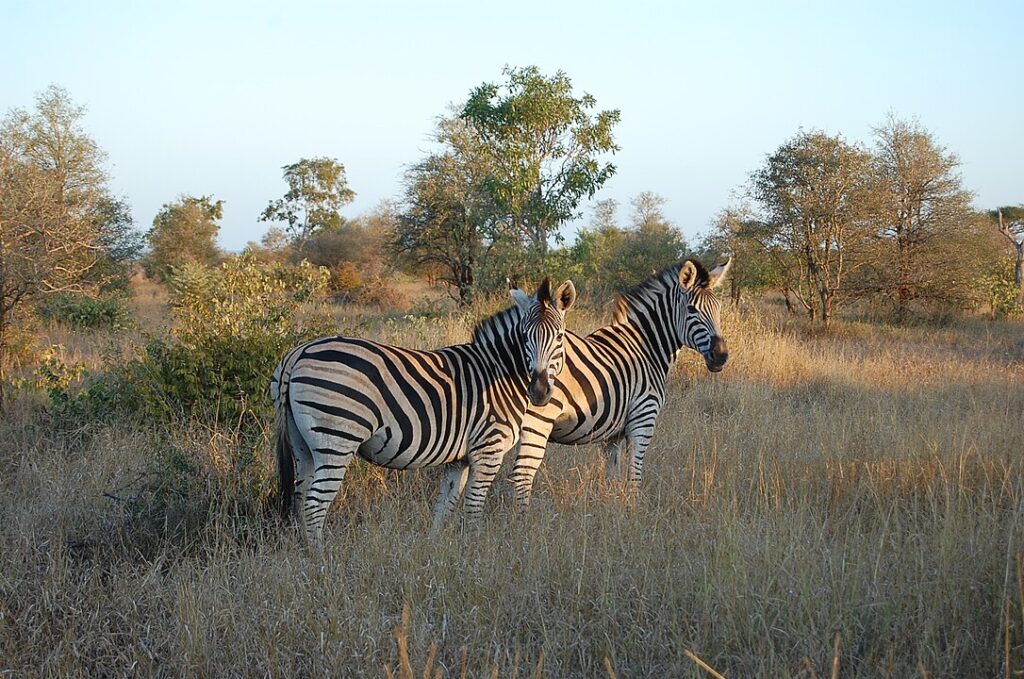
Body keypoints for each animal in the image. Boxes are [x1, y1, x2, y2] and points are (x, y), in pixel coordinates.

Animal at [272, 278, 577, 540]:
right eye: (524, 337)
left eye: (559, 337)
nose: (539, 391)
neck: (499, 371)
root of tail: (298, 353)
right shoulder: (488, 449)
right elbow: (473, 507)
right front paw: (475, 549)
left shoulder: (460, 458)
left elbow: (445, 505)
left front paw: (437, 547)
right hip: (336, 438)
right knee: (314, 505)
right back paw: (321, 559)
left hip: (302, 443)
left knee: (300, 497)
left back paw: (303, 552)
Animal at [503, 258, 729, 507]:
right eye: (691, 310)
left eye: (719, 309)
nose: (721, 356)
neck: (646, 347)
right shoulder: (643, 418)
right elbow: (634, 476)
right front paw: (633, 511)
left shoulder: (613, 434)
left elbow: (612, 477)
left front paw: (612, 508)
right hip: (538, 420)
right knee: (521, 475)